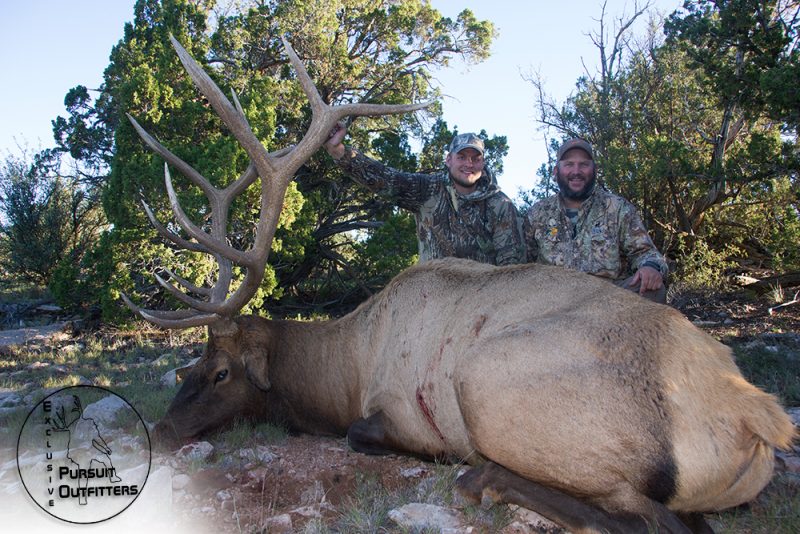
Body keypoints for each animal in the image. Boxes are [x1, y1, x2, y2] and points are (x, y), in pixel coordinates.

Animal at [125, 35, 792, 532]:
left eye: (220, 372)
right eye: (189, 366)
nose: (159, 430)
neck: (344, 369)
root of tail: (758, 416)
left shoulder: (394, 410)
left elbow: (362, 435)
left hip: (491, 383)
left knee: (655, 520)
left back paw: (484, 478)